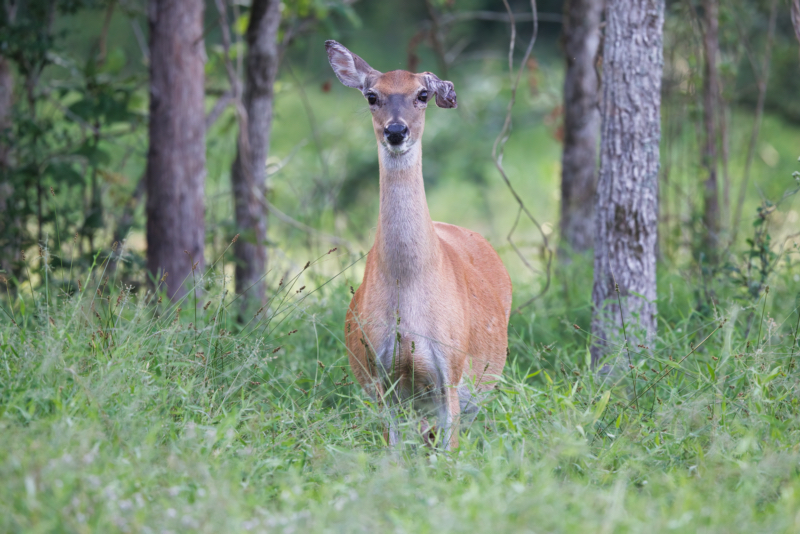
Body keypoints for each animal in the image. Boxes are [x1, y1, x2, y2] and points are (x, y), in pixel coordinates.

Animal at [328, 40, 516, 452]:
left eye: (422, 95)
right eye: (371, 96)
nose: (396, 131)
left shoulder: (452, 368)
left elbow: (450, 453)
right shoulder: (381, 374)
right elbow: (393, 454)